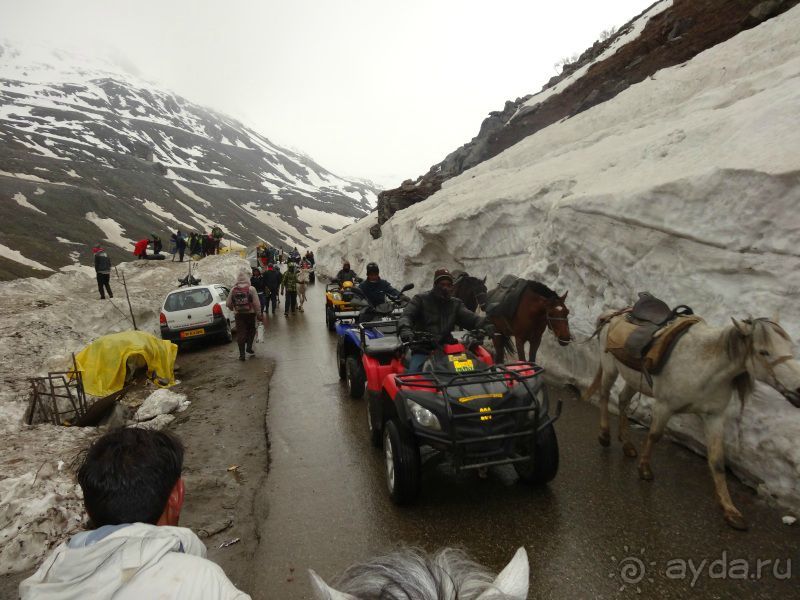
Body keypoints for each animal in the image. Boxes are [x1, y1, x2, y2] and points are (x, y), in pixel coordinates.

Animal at [580, 314, 800, 528]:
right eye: (764, 352)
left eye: (790, 348)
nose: (798, 390)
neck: (705, 367)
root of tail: (612, 316)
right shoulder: (664, 406)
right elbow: (654, 435)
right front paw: (644, 469)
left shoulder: (714, 416)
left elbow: (717, 460)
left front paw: (729, 509)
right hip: (610, 369)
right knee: (605, 396)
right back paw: (604, 435)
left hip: (634, 380)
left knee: (623, 400)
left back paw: (626, 443)